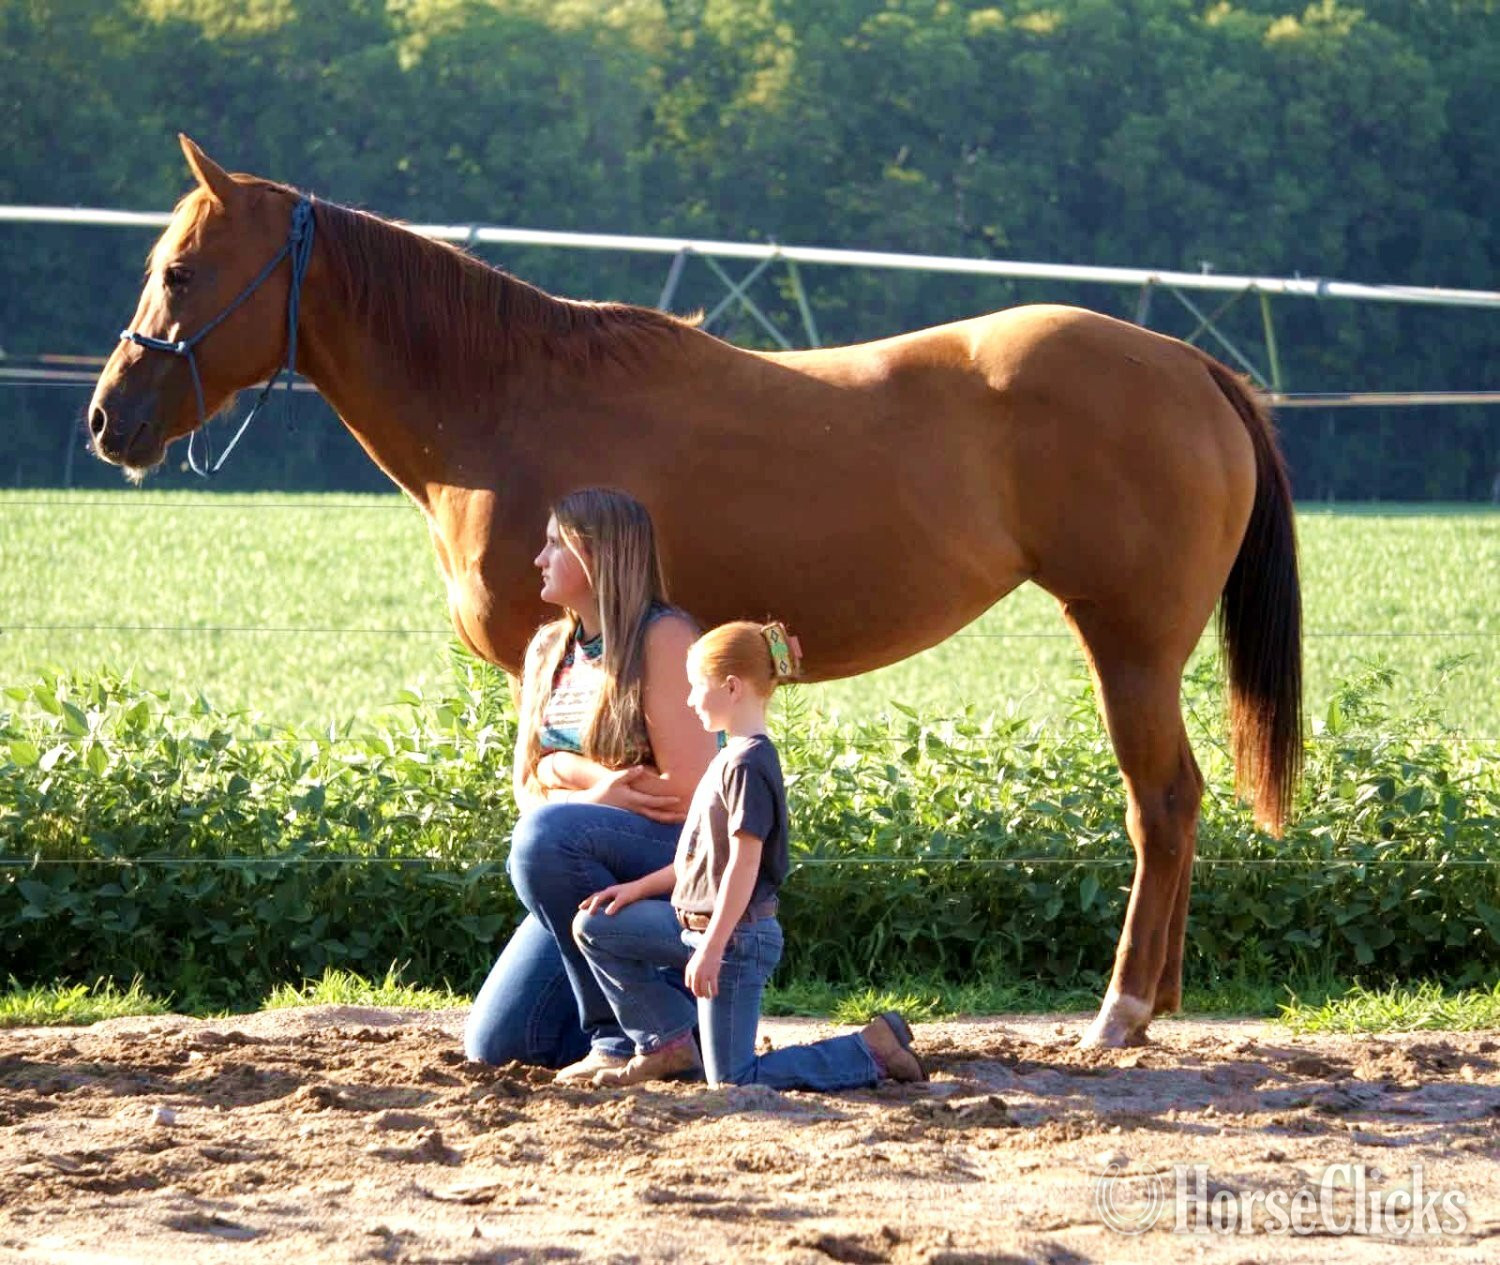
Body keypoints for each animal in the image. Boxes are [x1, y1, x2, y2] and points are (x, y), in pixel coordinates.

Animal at [88, 136, 1302, 1047]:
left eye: (181, 272)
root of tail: (1194, 365)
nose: (109, 418)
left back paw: (1121, 1010)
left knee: (1162, 801)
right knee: (1177, 803)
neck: (505, 400)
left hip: (1129, 643)